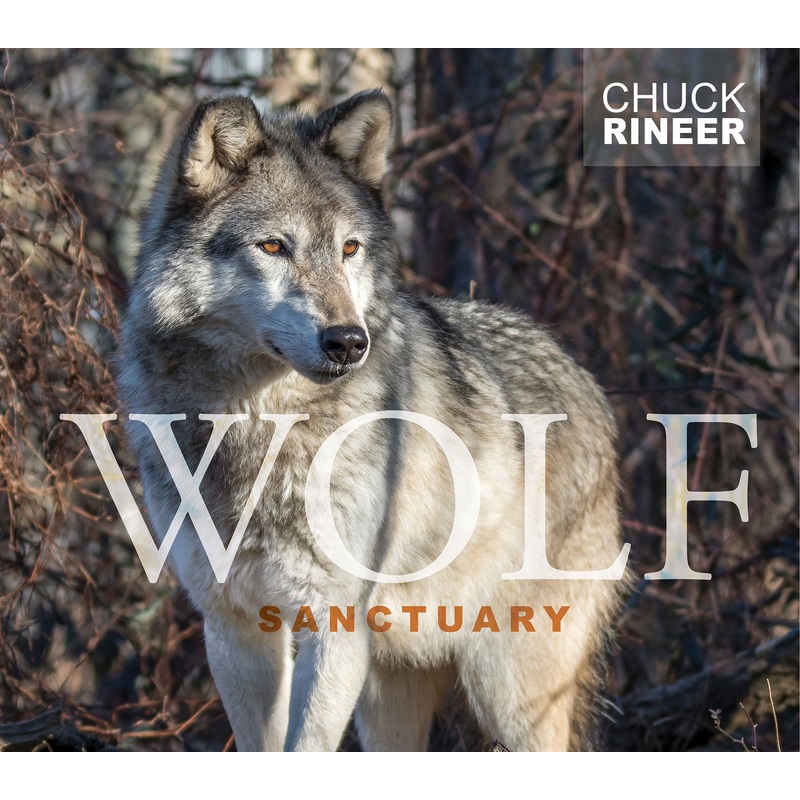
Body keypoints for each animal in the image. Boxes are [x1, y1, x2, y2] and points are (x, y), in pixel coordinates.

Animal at [117, 89, 625, 752]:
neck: (256, 425)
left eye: (350, 249)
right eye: (273, 247)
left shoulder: (335, 624)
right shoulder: (232, 624)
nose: (348, 341)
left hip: (509, 692)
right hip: (391, 695)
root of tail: (582, 374)